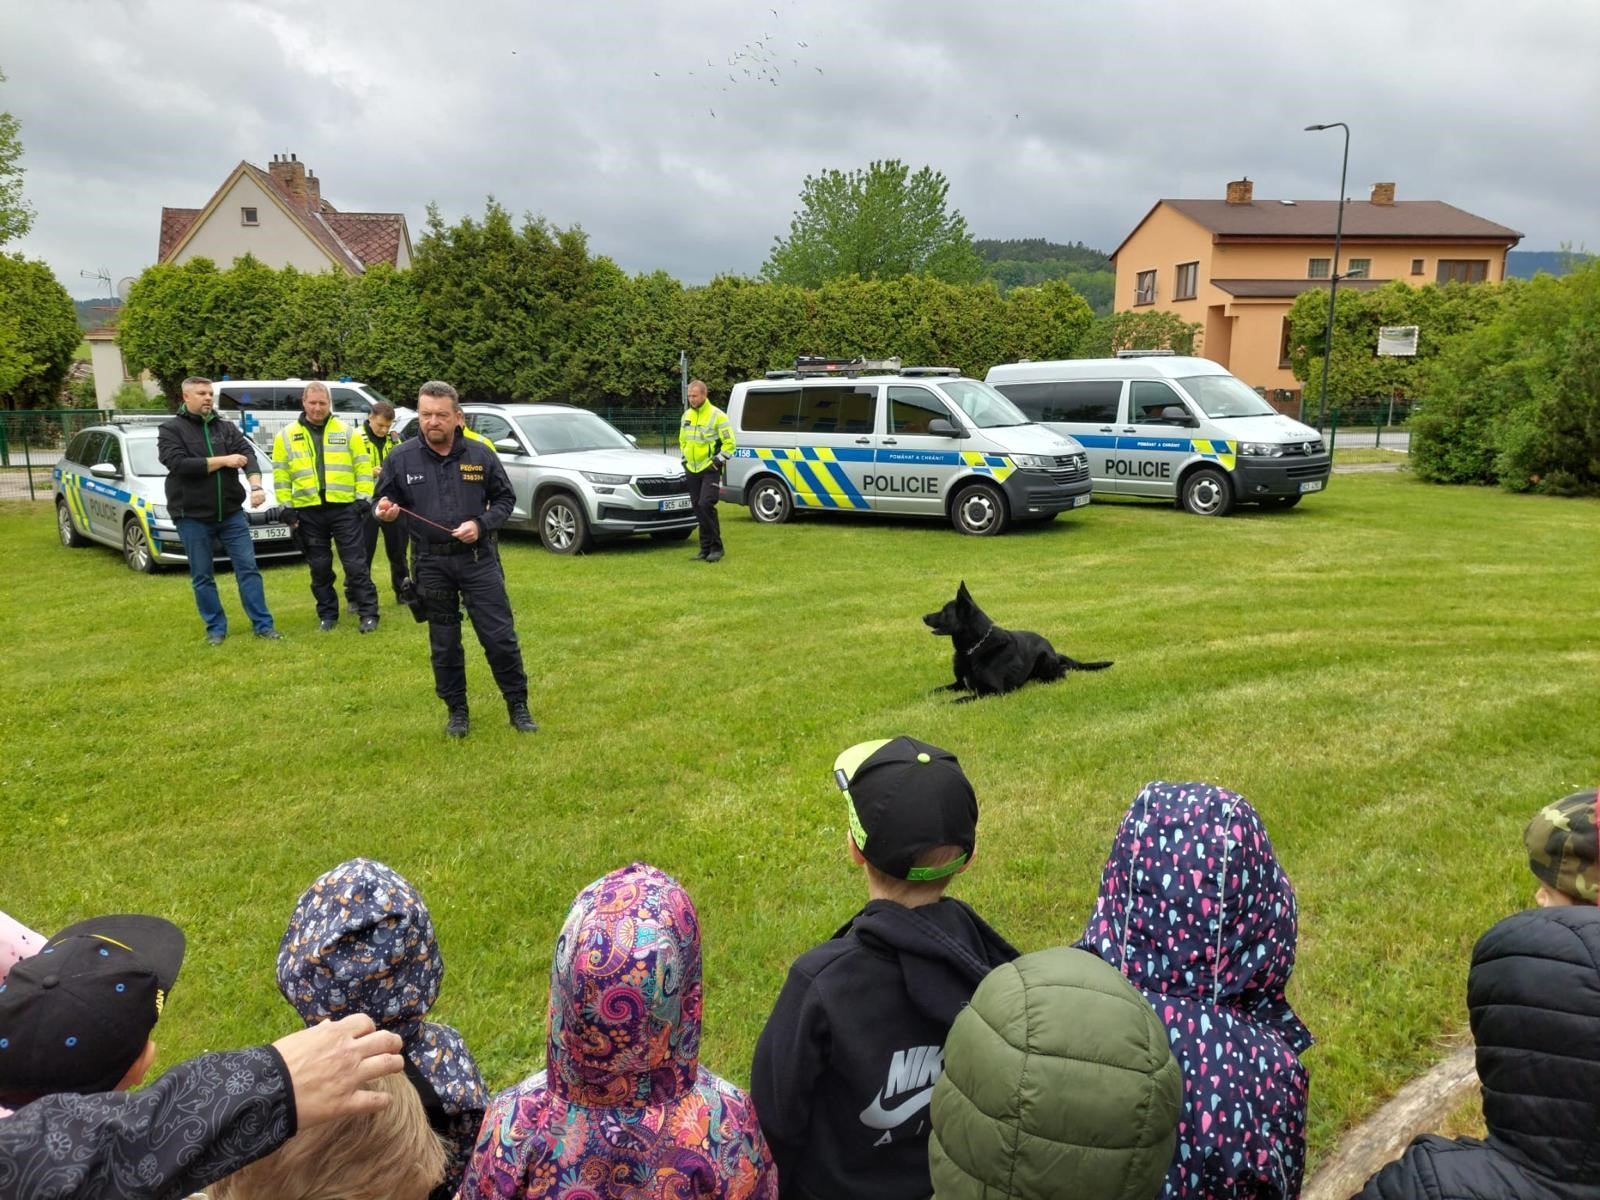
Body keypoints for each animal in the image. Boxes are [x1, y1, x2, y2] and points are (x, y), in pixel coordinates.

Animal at [928, 585, 1113, 700]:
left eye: (944, 612)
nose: (923, 617)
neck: (974, 648)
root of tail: (1053, 651)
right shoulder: (959, 684)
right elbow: (937, 689)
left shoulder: (993, 691)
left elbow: (961, 699)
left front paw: (944, 703)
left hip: (1044, 661)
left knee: (1061, 672)